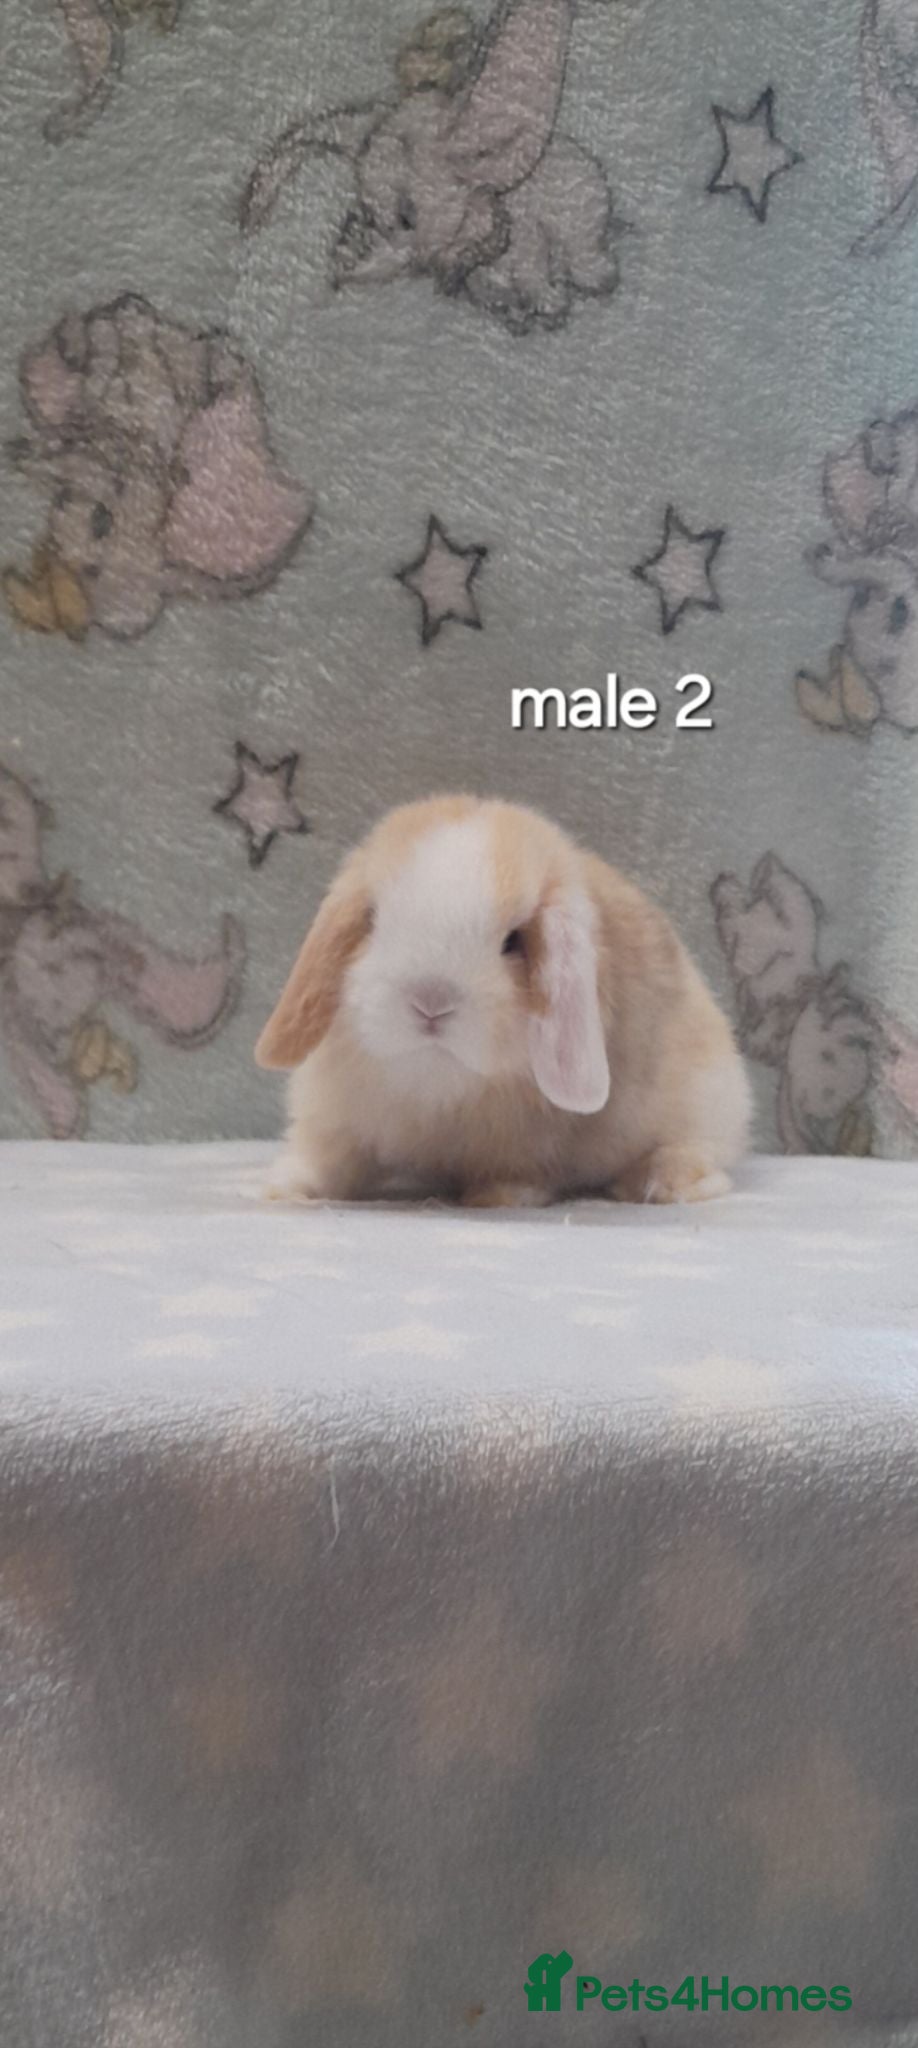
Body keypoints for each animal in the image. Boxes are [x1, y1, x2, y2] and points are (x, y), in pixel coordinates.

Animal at [255, 795, 750, 1207]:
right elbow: (323, 1158)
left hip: (706, 1101)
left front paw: (499, 1197)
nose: (430, 1003)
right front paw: (278, 1187)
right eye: (373, 921)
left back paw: (663, 1183)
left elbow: (520, 1171)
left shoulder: (531, 1142)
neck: (437, 1086)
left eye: (513, 942)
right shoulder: (334, 1117)